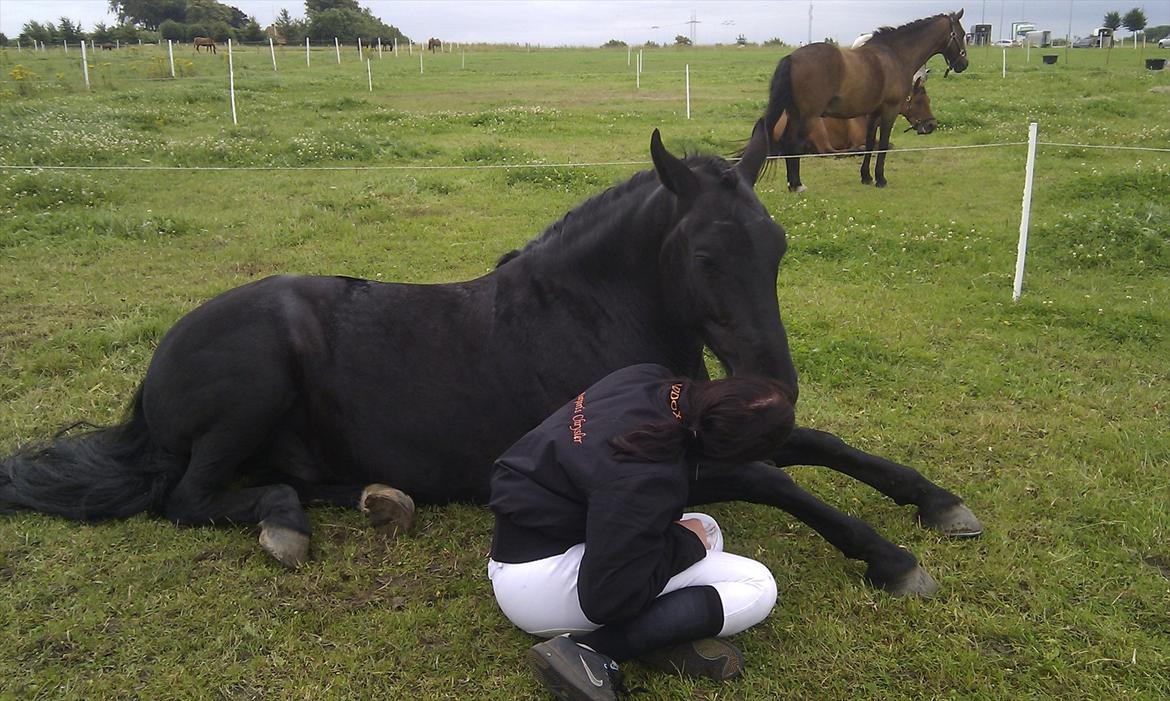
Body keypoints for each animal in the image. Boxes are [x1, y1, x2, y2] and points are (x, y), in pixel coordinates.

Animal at [2, 123, 978, 594]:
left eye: (776, 247)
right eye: (706, 257)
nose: (773, 395)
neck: (595, 320)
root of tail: (155, 370)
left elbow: (824, 448)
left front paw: (937, 501)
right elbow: (782, 477)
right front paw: (892, 558)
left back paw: (375, 498)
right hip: (251, 387)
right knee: (190, 498)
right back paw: (285, 525)